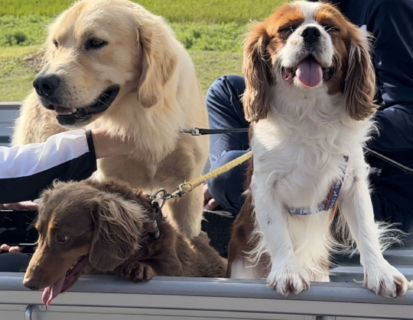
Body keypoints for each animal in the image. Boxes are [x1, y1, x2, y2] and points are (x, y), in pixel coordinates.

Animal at [22, 179, 225, 306]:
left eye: (62, 238)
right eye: (39, 232)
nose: (27, 284)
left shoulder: (175, 266)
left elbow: (161, 265)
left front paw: (139, 266)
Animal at [227, 1, 410, 298]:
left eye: (331, 28)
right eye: (287, 29)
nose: (311, 32)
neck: (309, 110)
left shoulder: (352, 181)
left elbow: (367, 229)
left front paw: (380, 272)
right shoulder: (264, 184)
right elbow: (276, 230)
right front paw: (287, 271)